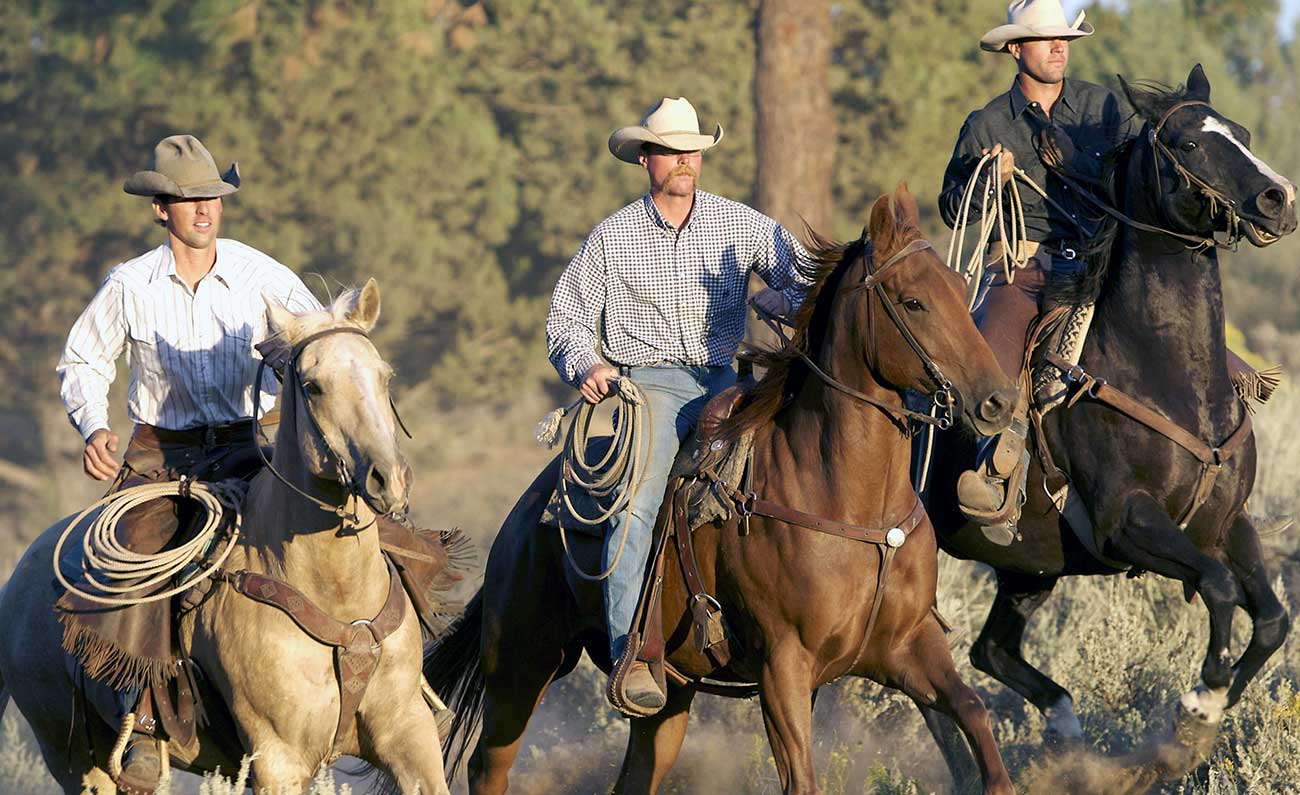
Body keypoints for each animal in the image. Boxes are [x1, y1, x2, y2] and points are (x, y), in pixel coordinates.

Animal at [0, 283, 452, 789]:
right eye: (313, 386)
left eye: (384, 377)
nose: (387, 479)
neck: (337, 592)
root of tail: (17, 580)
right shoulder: (278, 758)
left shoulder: (408, 734)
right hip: (75, 759)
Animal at [431, 183, 1019, 789]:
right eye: (911, 302)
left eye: (958, 289)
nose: (997, 399)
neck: (850, 504)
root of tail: (527, 509)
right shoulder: (783, 666)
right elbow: (801, 779)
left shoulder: (909, 647)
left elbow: (975, 716)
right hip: (521, 665)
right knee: (488, 765)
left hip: (667, 699)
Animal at [930, 65, 1294, 784]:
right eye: (1188, 142)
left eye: (1239, 132)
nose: (1278, 198)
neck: (1166, 371)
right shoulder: (1125, 520)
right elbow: (1217, 588)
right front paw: (1194, 712)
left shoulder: (1227, 521)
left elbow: (1270, 619)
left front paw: (1197, 722)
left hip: (1028, 569)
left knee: (989, 652)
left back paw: (1064, 732)